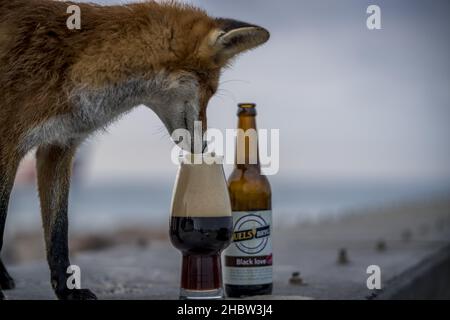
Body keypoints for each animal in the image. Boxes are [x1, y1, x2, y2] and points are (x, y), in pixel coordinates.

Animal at [0, 0, 268, 300]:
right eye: (210, 91)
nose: (203, 147)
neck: (73, 61)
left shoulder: (58, 147)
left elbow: (59, 232)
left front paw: (68, 291)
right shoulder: (9, 141)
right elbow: (0, 222)